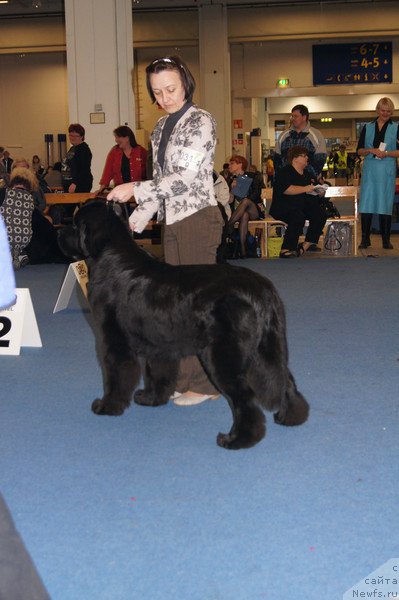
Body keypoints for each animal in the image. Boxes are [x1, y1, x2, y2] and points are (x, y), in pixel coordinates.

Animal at [59, 202, 310, 450]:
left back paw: (238, 439)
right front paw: (151, 399)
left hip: (223, 354)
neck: (110, 255)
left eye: (75, 224)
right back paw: (290, 417)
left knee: (245, 397)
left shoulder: (113, 339)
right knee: (285, 378)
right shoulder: (159, 343)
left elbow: (116, 375)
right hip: (268, 345)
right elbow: (158, 373)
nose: (59, 232)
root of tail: (262, 288)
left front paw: (107, 406)